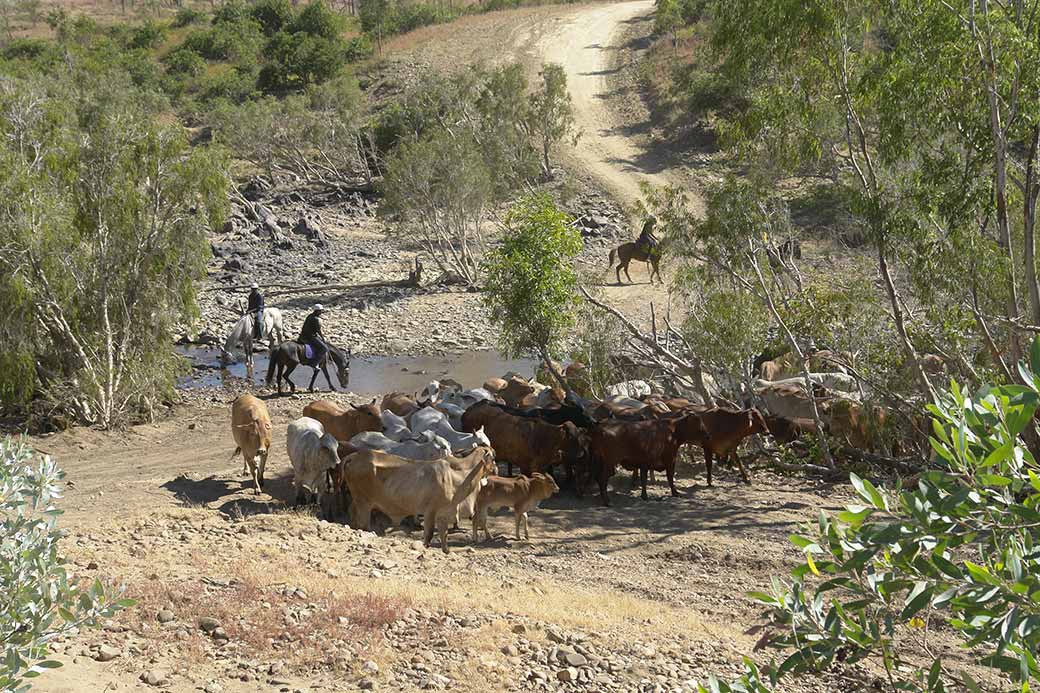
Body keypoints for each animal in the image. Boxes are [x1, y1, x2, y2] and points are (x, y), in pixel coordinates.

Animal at [344, 447, 496, 553]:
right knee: (363, 525)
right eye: (493, 458)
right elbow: (428, 536)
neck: (456, 478)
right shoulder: (430, 512)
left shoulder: (443, 514)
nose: (496, 469)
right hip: (364, 503)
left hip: (357, 502)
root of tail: (354, 456)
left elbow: (444, 537)